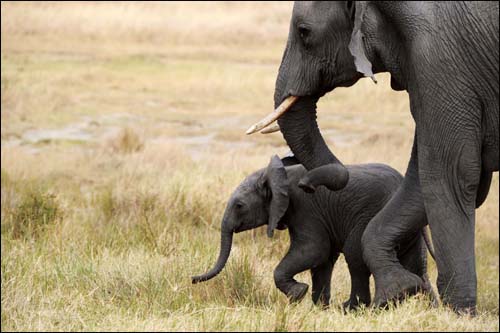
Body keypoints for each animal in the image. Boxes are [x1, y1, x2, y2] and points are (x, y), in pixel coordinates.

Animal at [191, 154, 434, 308]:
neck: (277, 174)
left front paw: (298, 295)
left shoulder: (305, 208)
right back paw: (430, 308)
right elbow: (322, 260)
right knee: (417, 264)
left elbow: (314, 250)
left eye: (240, 205)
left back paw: (351, 309)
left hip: (370, 216)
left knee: (355, 256)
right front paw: (318, 308)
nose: (192, 279)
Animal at [247, 1, 500, 312]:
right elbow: (422, 181)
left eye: (304, 32)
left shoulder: (439, 61)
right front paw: (398, 292)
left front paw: (458, 314)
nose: (306, 185)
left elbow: (447, 175)